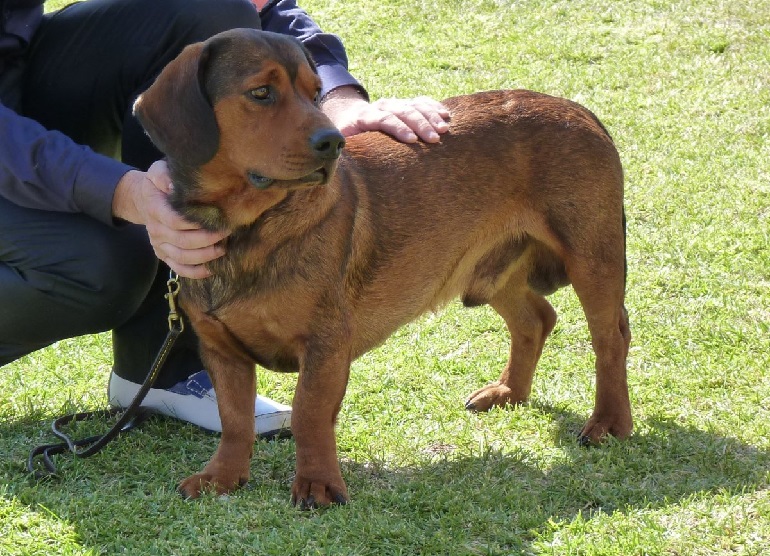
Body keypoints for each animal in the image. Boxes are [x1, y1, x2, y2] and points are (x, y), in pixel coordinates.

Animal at [135, 29, 632, 508]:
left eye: (315, 93)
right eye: (260, 92)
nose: (333, 142)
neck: (246, 229)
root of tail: (579, 110)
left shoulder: (325, 345)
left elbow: (309, 413)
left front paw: (318, 485)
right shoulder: (222, 350)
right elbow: (235, 419)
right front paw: (222, 478)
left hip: (593, 258)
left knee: (611, 338)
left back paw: (609, 423)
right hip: (493, 271)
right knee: (536, 319)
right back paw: (510, 393)